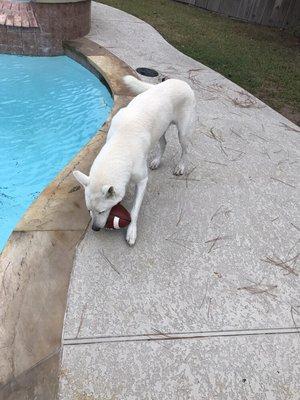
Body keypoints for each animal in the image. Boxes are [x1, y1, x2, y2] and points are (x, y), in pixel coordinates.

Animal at [72, 74, 195, 245]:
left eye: (102, 211)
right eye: (89, 210)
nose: (95, 229)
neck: (121, 145)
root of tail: (180, 81)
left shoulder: (142, 181)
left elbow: (135, 210)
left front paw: (131, 232)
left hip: (183, 132)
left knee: (185, 150)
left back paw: (181, 167)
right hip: (160, 129)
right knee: (164, 143)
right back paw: (157, 161)